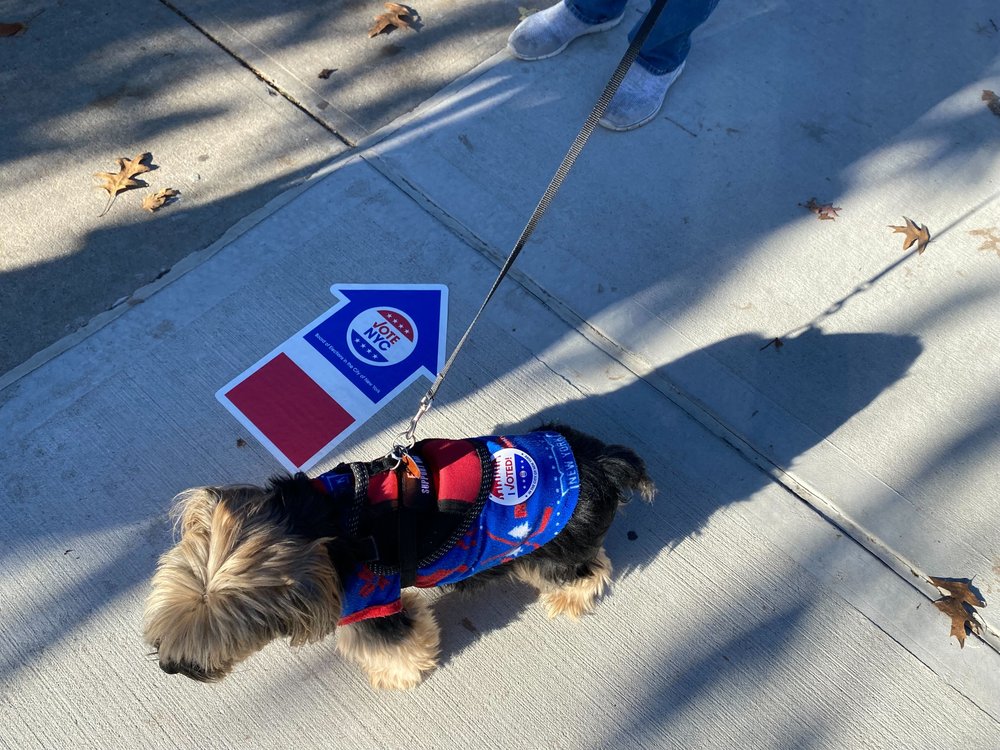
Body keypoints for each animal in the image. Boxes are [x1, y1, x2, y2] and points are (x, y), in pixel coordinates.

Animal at [145, 426, 652, 692]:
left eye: (220, 636)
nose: (169, 667)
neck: (313, 527)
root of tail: (600, 464)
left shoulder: (373, 606)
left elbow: (393, 646)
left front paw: (400, 675)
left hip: (552, 550)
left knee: (588, 570)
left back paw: (568, 598)